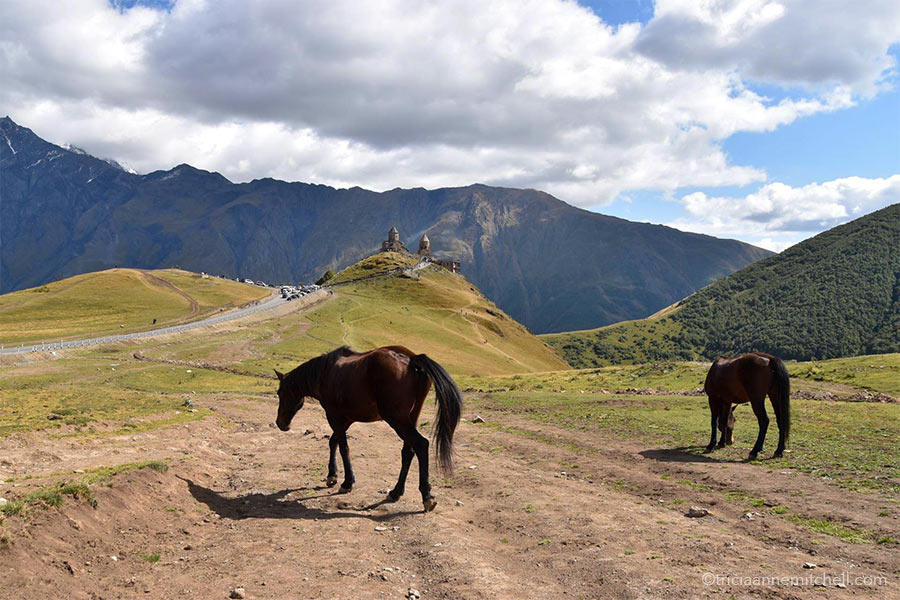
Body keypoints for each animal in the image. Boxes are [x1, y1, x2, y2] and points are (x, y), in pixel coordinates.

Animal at [274, 345, 462, 512]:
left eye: (280, 393)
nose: (280, 423)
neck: (325, 373)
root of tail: (411, 360)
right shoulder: (344, 420)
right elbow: (333, 442)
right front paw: (332, 476)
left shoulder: (334, 417)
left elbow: (343, 448)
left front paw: (347, 482)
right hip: (411, 418)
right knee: (408, 452)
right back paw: (396, 492)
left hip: (397, 420)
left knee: (421, 445)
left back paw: (427, 497)